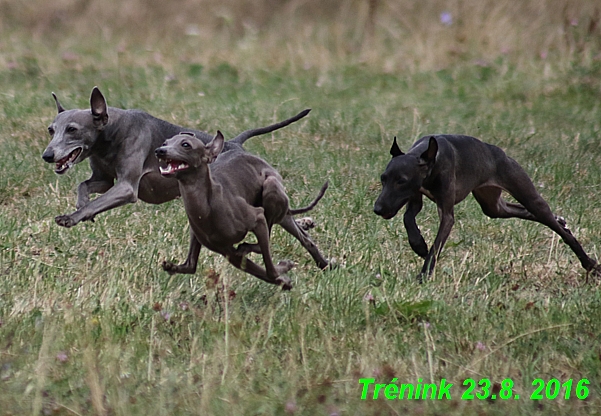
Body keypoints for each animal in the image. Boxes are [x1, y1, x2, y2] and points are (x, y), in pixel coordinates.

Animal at [43, 85, 310, 228]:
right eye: (51, 129)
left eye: (72, 129)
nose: (47, 155)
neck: (111, 132)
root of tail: (235, 144)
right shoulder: (105, 179)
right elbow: (83, 185)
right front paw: (81, 206)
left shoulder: (126, 187)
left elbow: (100, 200)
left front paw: (72, 217)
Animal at [155, 132, 328, 288]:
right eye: (165, 142)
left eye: (186, 144)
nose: (159, 150)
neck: (206, 206)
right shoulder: (227, 250)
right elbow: (263, 272)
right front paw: (284, 280)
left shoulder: (257, 218)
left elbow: (270, 271)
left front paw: (284, 269)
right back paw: (325, 264)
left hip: (271, 188)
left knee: (267, 238)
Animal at [372, 135, 596, 282]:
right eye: (383, 179)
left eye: (401, 181)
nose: (377, 208)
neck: (429, 158)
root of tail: (499, 152)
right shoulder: (415, 199)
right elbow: (408, 218)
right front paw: (418, 245)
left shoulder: (447, 214)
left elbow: (436, 245)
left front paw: (424, 275)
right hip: (493, 206)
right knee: (523, 212)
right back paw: (561, 221)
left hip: (527, 195)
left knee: (549, 220)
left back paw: (590, 264)